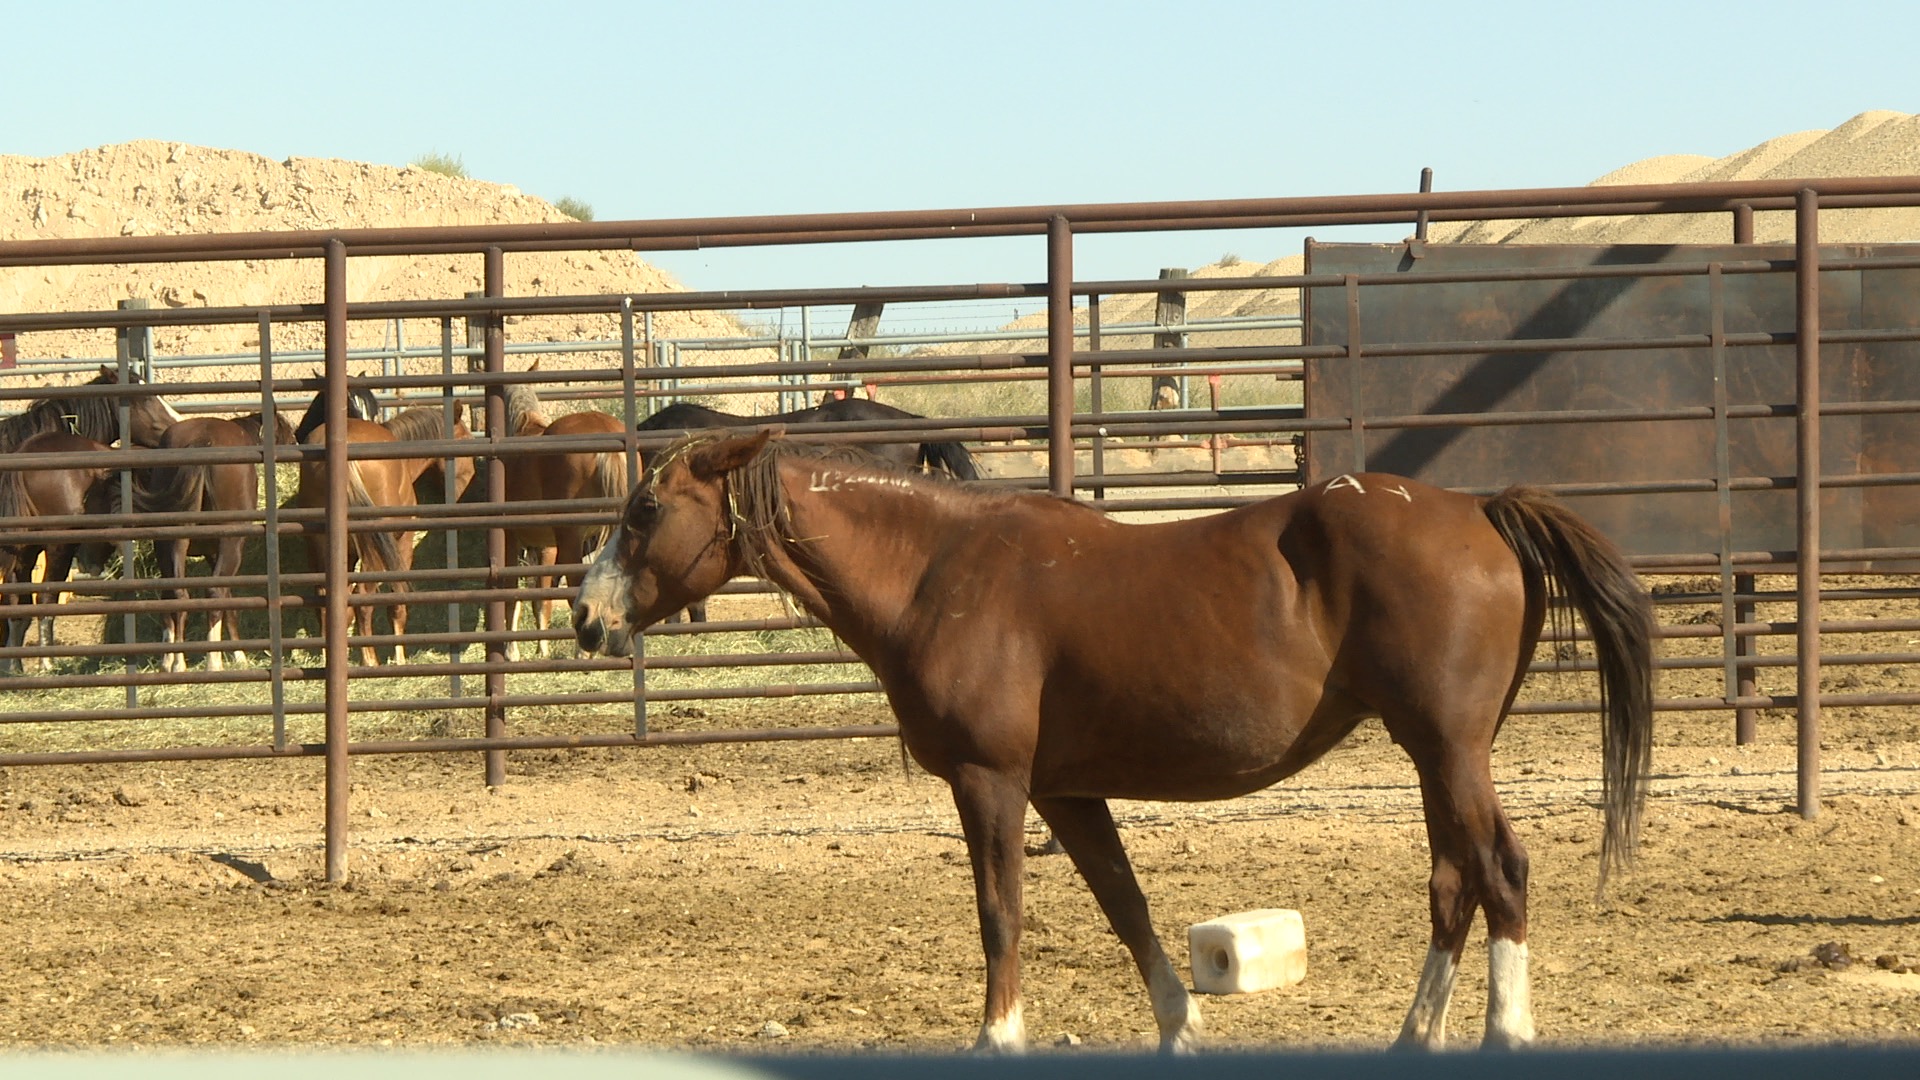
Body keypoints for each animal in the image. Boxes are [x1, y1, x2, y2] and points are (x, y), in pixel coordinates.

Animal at [0, 432, 118, 674]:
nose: (92, 565)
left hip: (24, 552)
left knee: (18, 603)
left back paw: (16, 666)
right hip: (58, 548)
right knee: (45, 598)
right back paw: (46, 663)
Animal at [132, 416, 262, 672]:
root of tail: (203, 440)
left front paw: (167, 658)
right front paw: (239, 655)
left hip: (174, 540)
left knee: (178, 593)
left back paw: (178, 663)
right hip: (230, 544)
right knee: (214, 593)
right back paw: (213, 662)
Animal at [295, 405, 474, 665]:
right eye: (466, 441)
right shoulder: (402, 544)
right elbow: (396, 604)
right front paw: (399, 658)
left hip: (318, 547)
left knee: (324, 599)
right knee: (363, 599)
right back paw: (371, 660)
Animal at [502, 383, 628, 658]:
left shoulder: (511, 540)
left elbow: (513, 596)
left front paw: (512, 651)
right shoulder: (546, 547)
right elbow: (541, 599)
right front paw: (542, 649)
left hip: (571, 539)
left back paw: (583, 653)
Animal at [571, 430, 1656, 1054]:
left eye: (645, 508)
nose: (583, 614)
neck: (939, 570)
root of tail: (1479, 509)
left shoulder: (992, 782)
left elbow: (1001, 916)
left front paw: (999, 1040)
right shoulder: (1066, 792)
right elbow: (1125, 908)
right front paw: (1182, 1029)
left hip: (1448, 748)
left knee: (1500, 873)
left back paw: (1503, 1035)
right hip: (1433, 753)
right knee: (1453, 882)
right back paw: (1412, 1039)